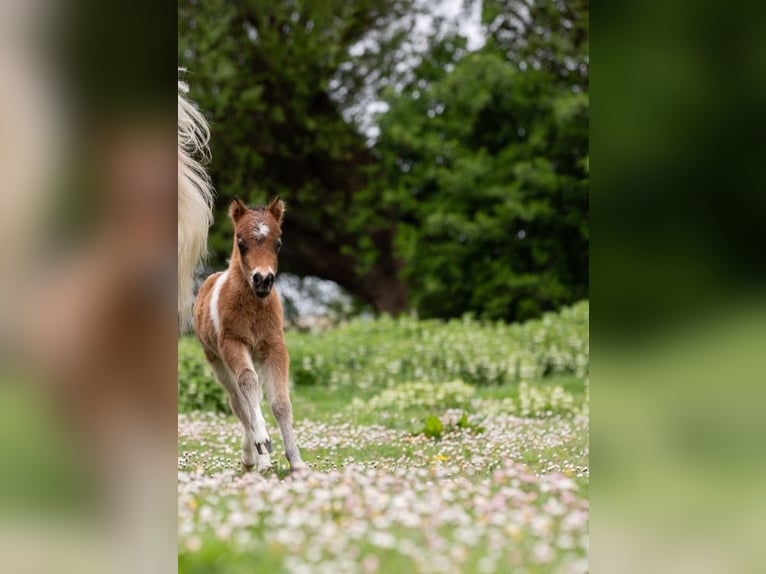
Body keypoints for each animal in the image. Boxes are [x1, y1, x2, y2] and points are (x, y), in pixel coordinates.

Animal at [193, 197, 308, 474]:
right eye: (240, 242)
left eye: (278, 243)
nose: (262, 280)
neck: (253, 308)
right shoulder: (233, 344)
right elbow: (248, 386)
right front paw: (262, 445)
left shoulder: (274, 346)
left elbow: (281, 403)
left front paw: (297, 462)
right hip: (218, 362)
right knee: (239, 401)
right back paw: (255, 455)